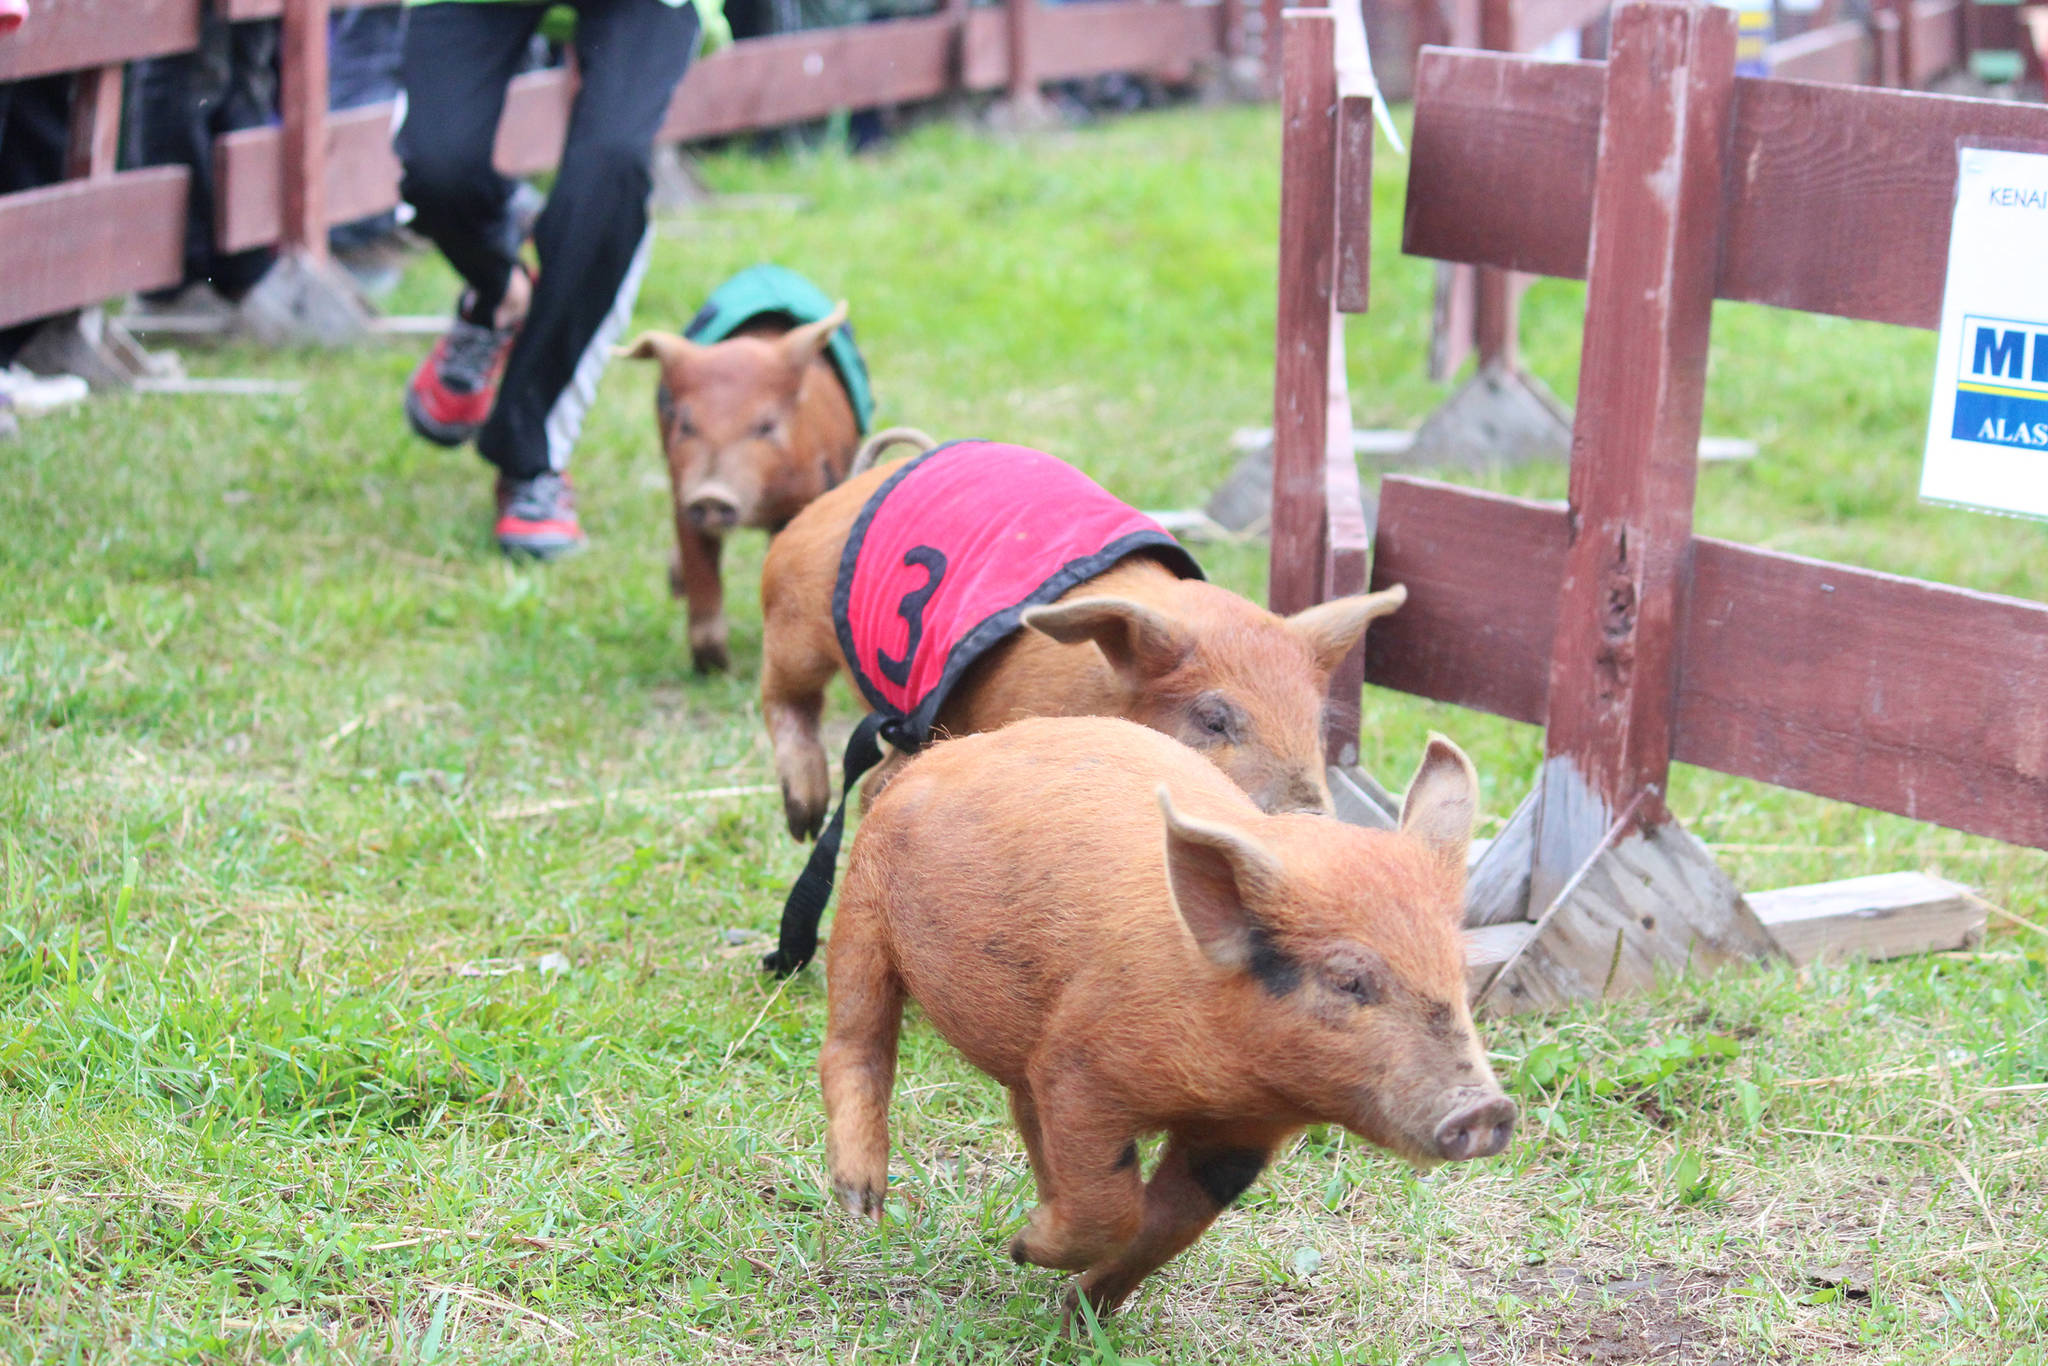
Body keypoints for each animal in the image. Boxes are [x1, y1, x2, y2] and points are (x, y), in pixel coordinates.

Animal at [614, 307, 856, 675]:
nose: (711, 494)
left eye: (766, 426)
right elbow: (701, 573)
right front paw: (713, 668)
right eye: (687, 425)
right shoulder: (683, 497)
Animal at [757, 458, 1409, 839]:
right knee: (787, 702)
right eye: (1213, 720)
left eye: (1318, 724)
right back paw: (803, 819)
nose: (1312, 819)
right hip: (794, 624)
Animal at [819, 720, 1523, 1318]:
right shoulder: (1080, 1066)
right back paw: (862, 1204)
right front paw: (1021, 1252)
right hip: (861, 904)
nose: (1487, 1108)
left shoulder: (1241, 1135)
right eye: (1348, 979)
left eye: (1457, 973)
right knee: (855, 1042)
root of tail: (938, 751)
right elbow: (1112, 1205)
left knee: (1020, 1107)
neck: (1218, 1080)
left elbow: (1165, 1226)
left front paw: (1078, 1314)